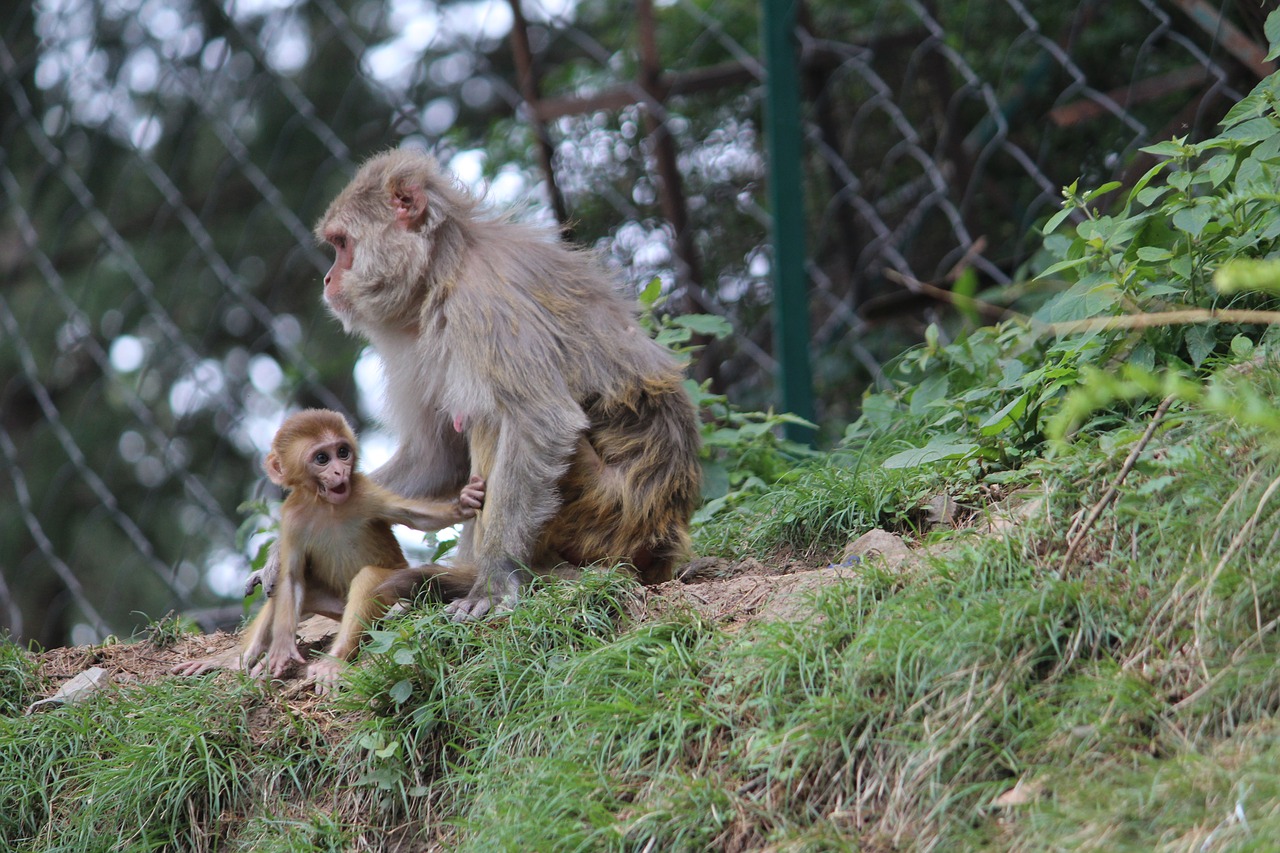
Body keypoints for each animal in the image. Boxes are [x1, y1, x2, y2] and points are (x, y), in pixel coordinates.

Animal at [172, 404, 481, 686]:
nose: (339, 471)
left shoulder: (366, 492)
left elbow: (418, 517)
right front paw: (280, 648)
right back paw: (236, 663)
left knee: (370, 579)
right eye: (322, 458)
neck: (327, 506)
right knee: (287, 591)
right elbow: (290, 577)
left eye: (342, 452)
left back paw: (335, 659)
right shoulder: (292, 520)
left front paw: (465, 503)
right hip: (334, 606)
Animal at [293, 149, 701, 617]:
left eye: (342, 244)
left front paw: (495, 581)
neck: (443, 269)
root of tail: (665, 534)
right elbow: (438, 458)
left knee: (491, 419)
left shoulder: (484, 303)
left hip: (611, 514)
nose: (328, 278)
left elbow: (541, 420)